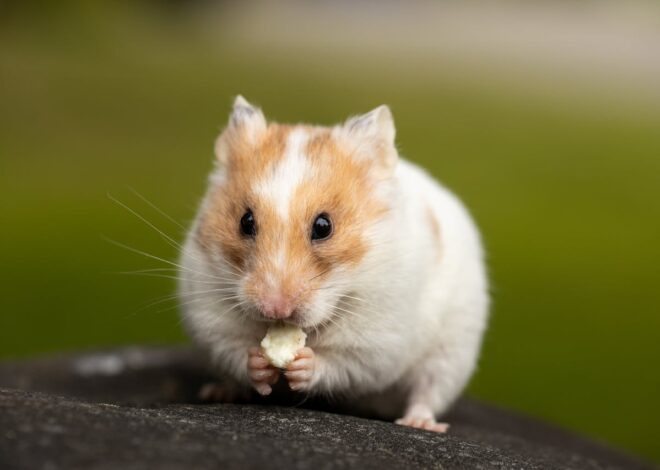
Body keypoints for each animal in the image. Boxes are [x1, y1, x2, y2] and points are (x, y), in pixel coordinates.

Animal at [179, 96, 489, 432]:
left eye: (324, 226)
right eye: (245, 222)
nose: (275, 310)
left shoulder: (376, 341)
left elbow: (341, 364)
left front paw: (303, 364)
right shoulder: (211, 316)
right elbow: (235, 350)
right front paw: (259, 363)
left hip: (451, 353)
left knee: (427, 391)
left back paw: (419, 423)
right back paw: (218, 392)